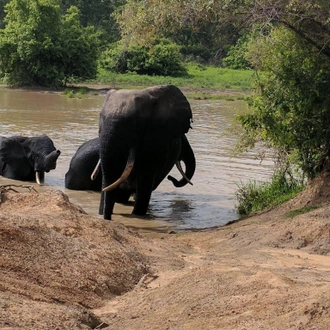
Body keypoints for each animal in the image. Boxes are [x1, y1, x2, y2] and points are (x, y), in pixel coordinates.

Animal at [96, 84, 195, 219]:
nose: (171, 178)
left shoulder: (154, 141)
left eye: (133, 122)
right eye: (100, 118)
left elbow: (145, 177)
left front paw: (138, 216)